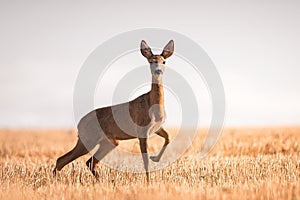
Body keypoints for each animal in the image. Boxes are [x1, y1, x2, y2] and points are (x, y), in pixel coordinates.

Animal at [54, 39, 173, 183]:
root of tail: (79, 124)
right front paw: (149, 182)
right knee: (63, 159)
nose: (158, 71)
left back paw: (100, 182)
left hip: (109, 141)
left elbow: (168, 137)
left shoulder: (156, 127)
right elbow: (145, 161)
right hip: (88, 138)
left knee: (89, 161)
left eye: (164, 61)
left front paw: (155, 158)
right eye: (151, 61)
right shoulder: (142, 130)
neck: (154, 105)